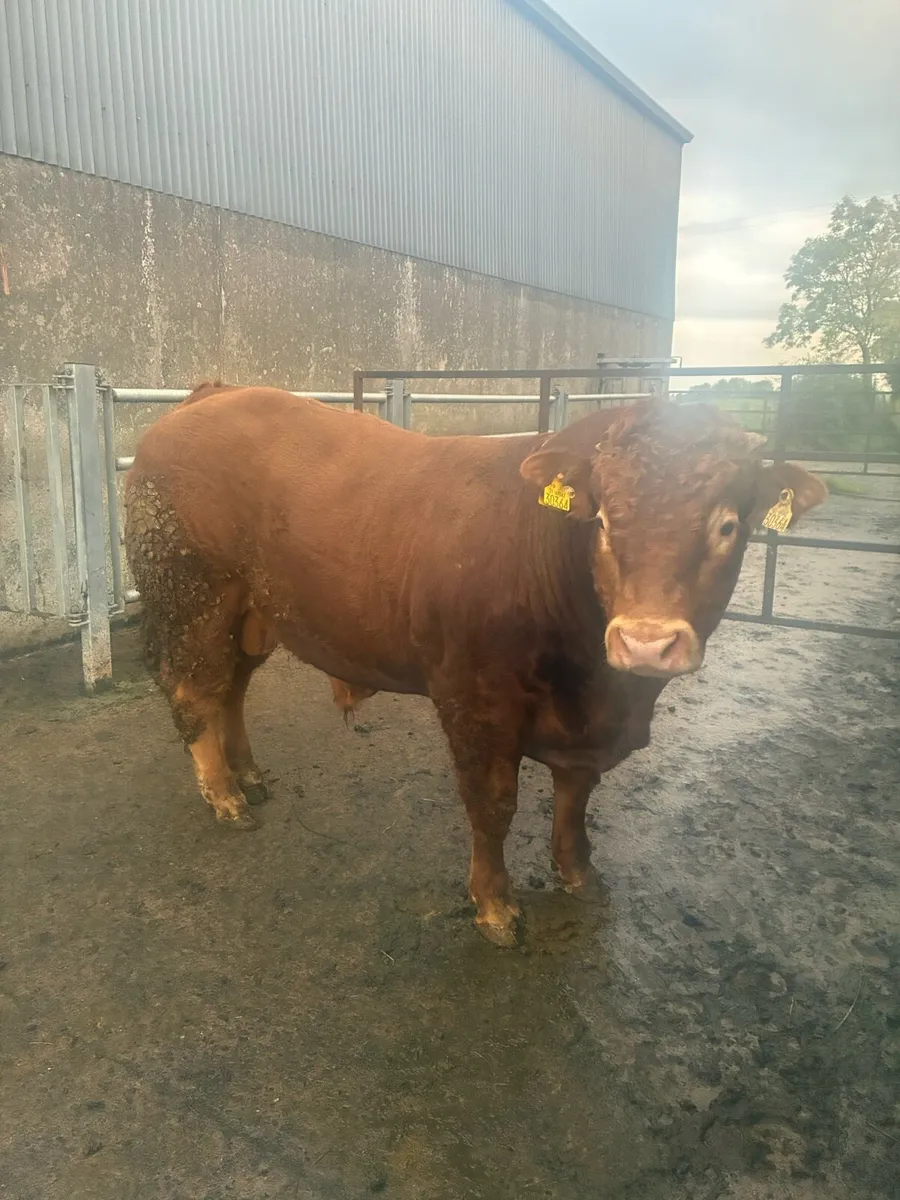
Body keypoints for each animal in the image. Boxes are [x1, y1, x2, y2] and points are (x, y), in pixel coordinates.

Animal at [124, 383, 827, 946]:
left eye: (728, 526)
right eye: (601, 520)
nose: (645, 642)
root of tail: (211, 395)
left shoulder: (584, 727)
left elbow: (575, 795)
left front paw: (579, 873)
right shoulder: (475, 699)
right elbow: (492, 805)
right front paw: (495, 907)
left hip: (252, 610)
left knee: (232, 689)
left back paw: (247, 775)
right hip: (192, 595)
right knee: (194, 691)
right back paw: (224, 796)